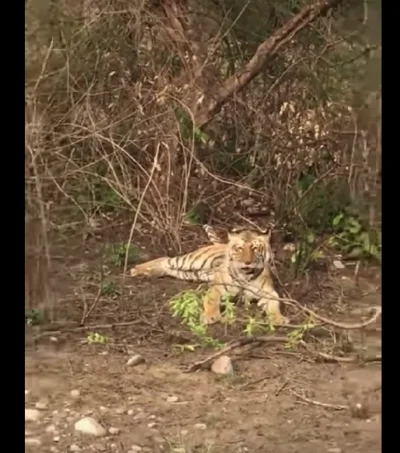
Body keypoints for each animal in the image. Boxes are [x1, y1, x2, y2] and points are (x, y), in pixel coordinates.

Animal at [129, 226, 288, 324]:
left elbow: (275, 305)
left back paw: (150, 273)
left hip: (191, 273)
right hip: (192, 261)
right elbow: (211, 301)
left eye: (255, 248)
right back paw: (137, 270)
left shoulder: (269, 293)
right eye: (240, 248)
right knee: (165, 259)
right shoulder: (217, 289)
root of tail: (221, 244)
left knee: (167, 267)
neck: (245, 276)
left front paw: (279, 319)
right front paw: (210, 317)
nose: (247, 262)